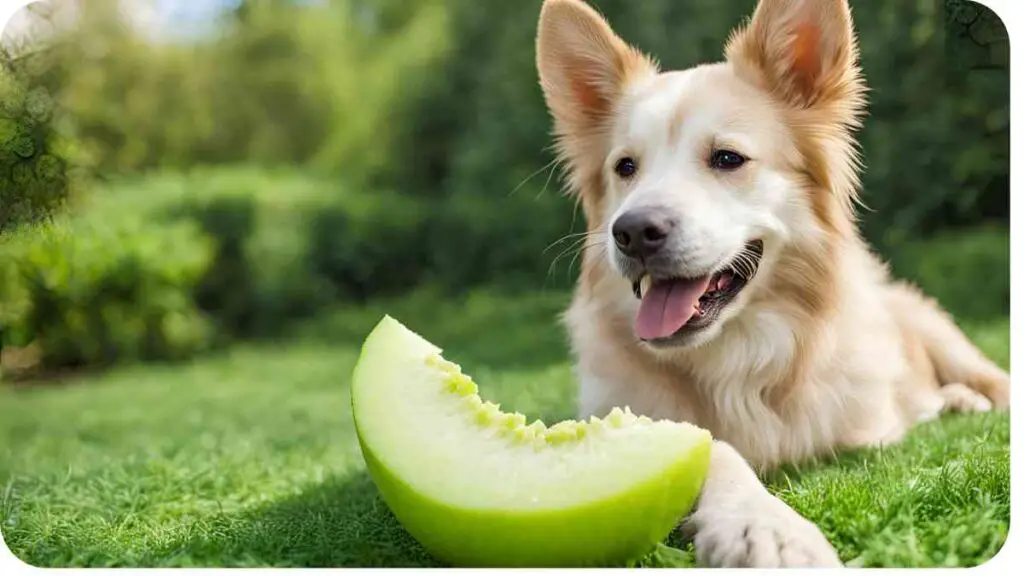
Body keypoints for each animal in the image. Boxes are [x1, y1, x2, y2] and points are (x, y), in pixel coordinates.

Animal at [536, 0, 1007, 565]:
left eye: (727, 158)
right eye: (625, 168)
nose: (632, 233)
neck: (739, 358)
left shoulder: (868, 432)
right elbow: (712, 447)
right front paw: (762, 524)